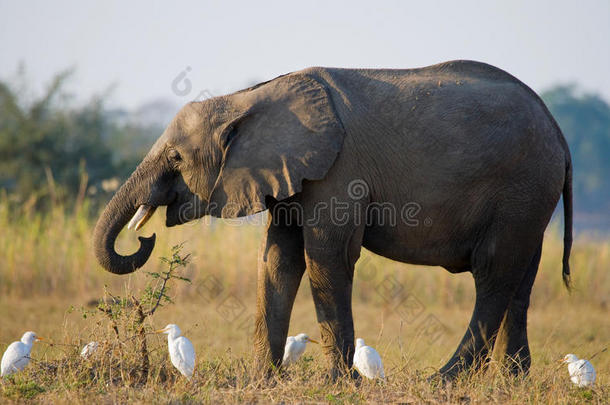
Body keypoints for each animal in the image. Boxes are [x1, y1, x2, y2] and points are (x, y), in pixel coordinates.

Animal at [91, 60, 568, 378]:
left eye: (175, 158)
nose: (145, 239)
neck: (245, 100)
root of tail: (559, 133)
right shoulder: (287, 175)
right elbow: (277, 259)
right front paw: (262, 380)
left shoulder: (337, 171)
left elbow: (326, 256)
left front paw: (339, 383)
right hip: (529, 198)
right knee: (520, 280)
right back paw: (512, 381)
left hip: (521, 187)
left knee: (493, 273)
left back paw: (446, 381)